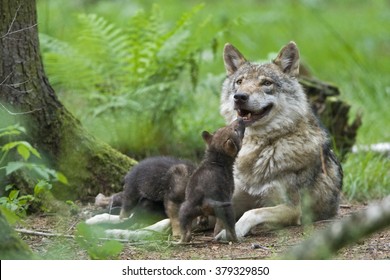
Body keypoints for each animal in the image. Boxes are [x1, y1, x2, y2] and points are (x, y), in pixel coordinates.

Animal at [215, 40, 342, 240]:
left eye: (266, 83)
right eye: (240, 82)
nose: (239, 97)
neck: (260, 147)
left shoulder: (293, 209)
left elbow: (252, 212)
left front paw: (234, 230)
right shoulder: (236, 195)